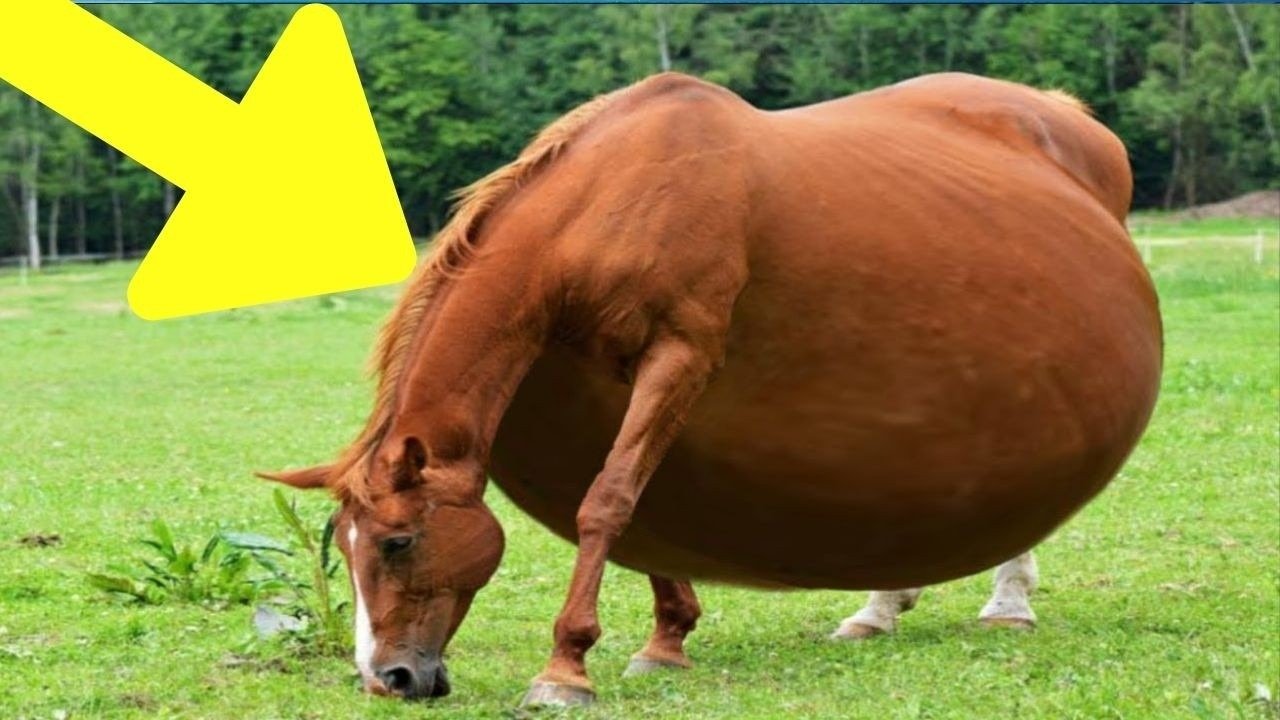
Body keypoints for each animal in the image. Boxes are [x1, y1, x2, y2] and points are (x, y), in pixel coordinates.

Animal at [259, 71, 1162, 707]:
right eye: (343, 548)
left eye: (397, 542)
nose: (388, 679)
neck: (610, 199)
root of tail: (1064, 116)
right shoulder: (615, 372)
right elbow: (639, 503)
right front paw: (665, 643)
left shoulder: (682, 353)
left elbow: (609, 500)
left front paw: (565, 669)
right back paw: (879, 606)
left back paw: (1008, 603)